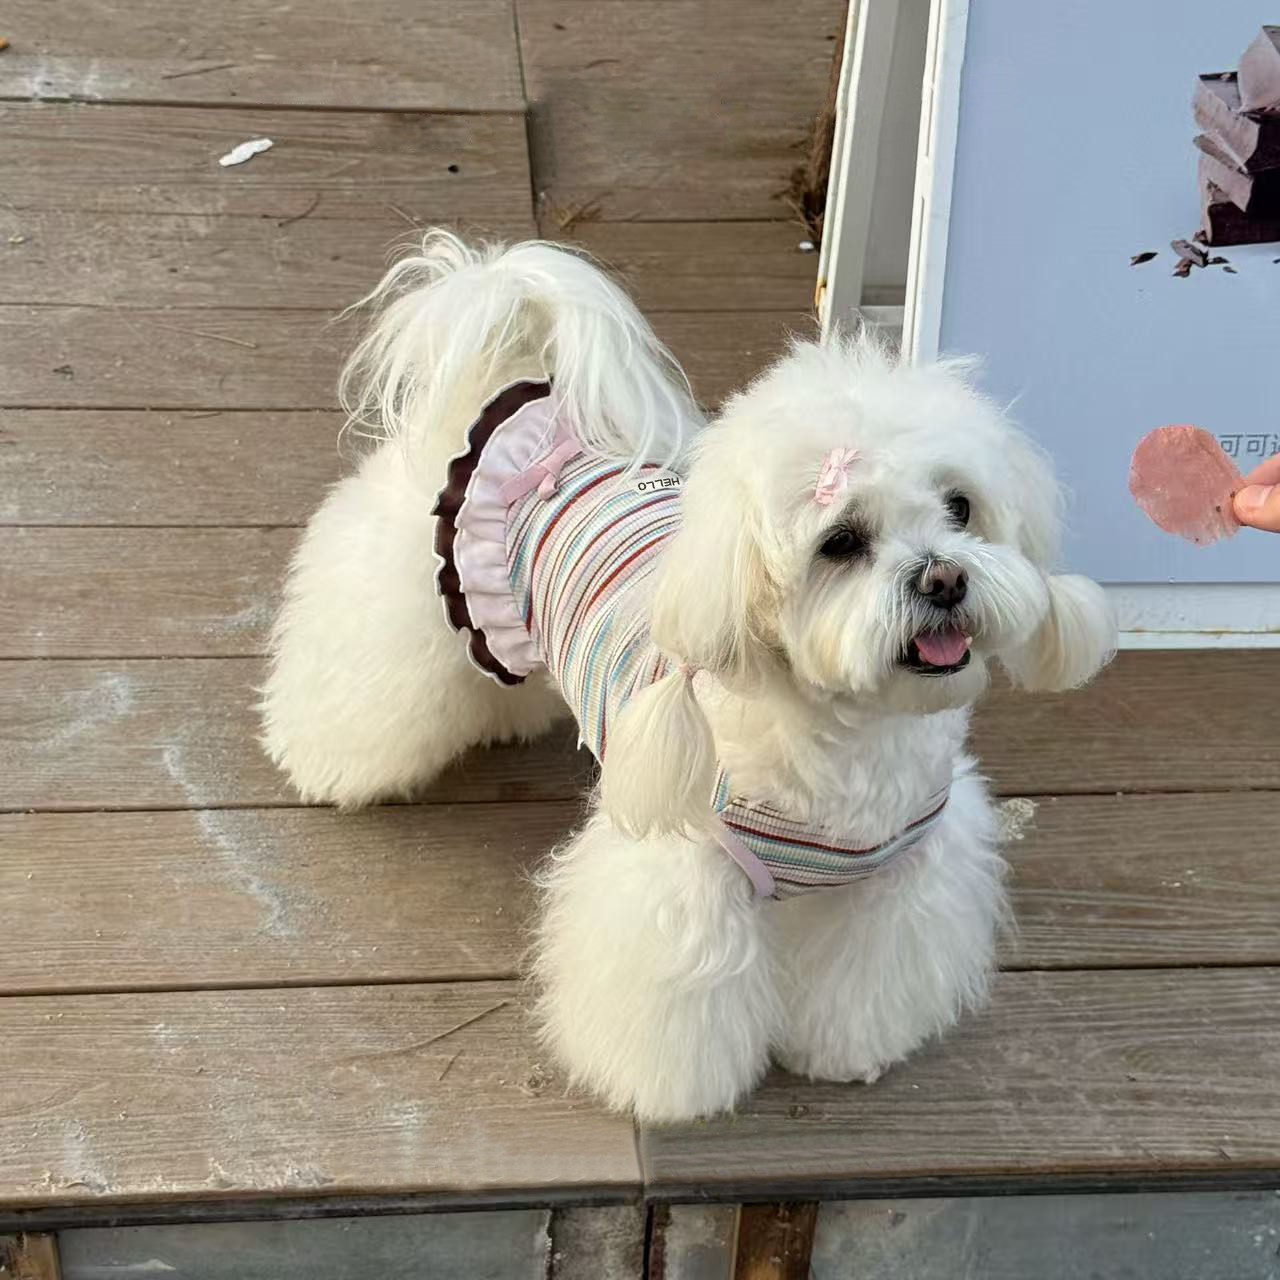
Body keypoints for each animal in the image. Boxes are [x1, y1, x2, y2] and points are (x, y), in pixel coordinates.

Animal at [261, 232, 1116, 1122]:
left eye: (960, 507)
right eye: (841, 542)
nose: (945, 579)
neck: (850, 749)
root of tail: (521, 383)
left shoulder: (894, 885)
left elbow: (862, 983)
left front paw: (845, 1055)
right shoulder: (682, 879)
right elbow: (677, 999)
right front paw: (669, 1095)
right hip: (400, 598)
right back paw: (324, 763)